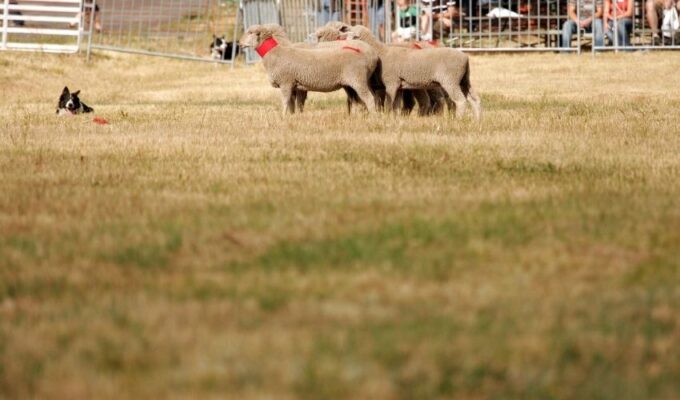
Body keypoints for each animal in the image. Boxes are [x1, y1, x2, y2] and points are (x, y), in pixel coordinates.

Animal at [238, 23, 378, 114]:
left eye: (250, 33)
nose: (239, 43)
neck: (275, 52)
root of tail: (371, 56)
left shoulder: (286, 82)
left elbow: (285, 102)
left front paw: (282, 117)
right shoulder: (294, 85)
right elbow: (293, 104)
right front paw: (293, 117)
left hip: (358, 79)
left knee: (369, 99)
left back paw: (373, 117)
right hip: (356, 82)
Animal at [328, 23, 478, 119]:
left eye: (352, 31)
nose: (341, 30)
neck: (381, 52)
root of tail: (465, 58)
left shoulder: (391, 82)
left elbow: (389, 103)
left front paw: (386, 117)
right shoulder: (399, 85)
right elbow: (396, 105)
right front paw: (395, 118)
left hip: (450, 80)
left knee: (461, 100)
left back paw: (458, 119)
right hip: (465, 80)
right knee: (475, 100)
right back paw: (477, 120)